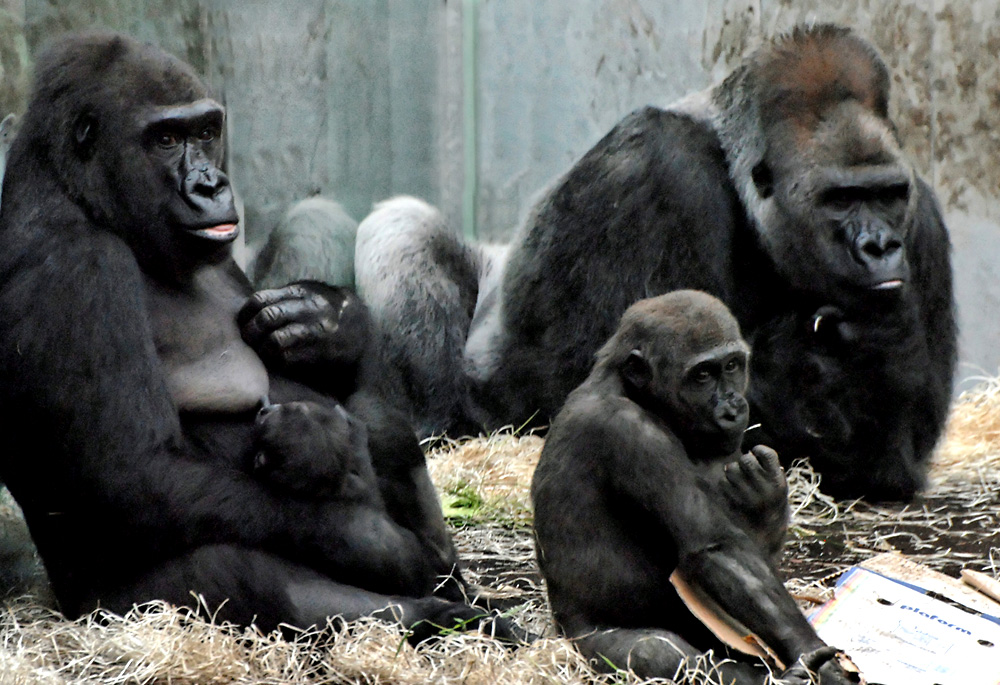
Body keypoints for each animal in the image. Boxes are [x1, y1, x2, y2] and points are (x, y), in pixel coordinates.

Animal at [0, 33, 516, 640]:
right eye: (165, 139)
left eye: (205, 132)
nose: (211, 184)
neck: (73, 193)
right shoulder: (74, 267)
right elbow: (132, 475)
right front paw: (375, 543)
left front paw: (329, 323)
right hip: (110, 611)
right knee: (245, 573)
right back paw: (436, 612)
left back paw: (453, 581)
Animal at [356, 24, 956, 500]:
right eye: (839, 199)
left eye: (886, 195)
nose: (879, 246)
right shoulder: (653, 166)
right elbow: (591, 382)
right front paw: (809, 362)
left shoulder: (921, 216)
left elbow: (899, 461)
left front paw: (878, 342)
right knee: (403, 230)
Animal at [536, 292, 856, 680]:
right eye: (702, 375)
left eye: (732, 366)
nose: (733, 407)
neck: (627, 388)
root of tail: (557, 631)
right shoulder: (630, 432)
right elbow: (715, 547)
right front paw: (819, 662)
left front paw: (763, 503)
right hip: (582, 643)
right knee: (658, 652)